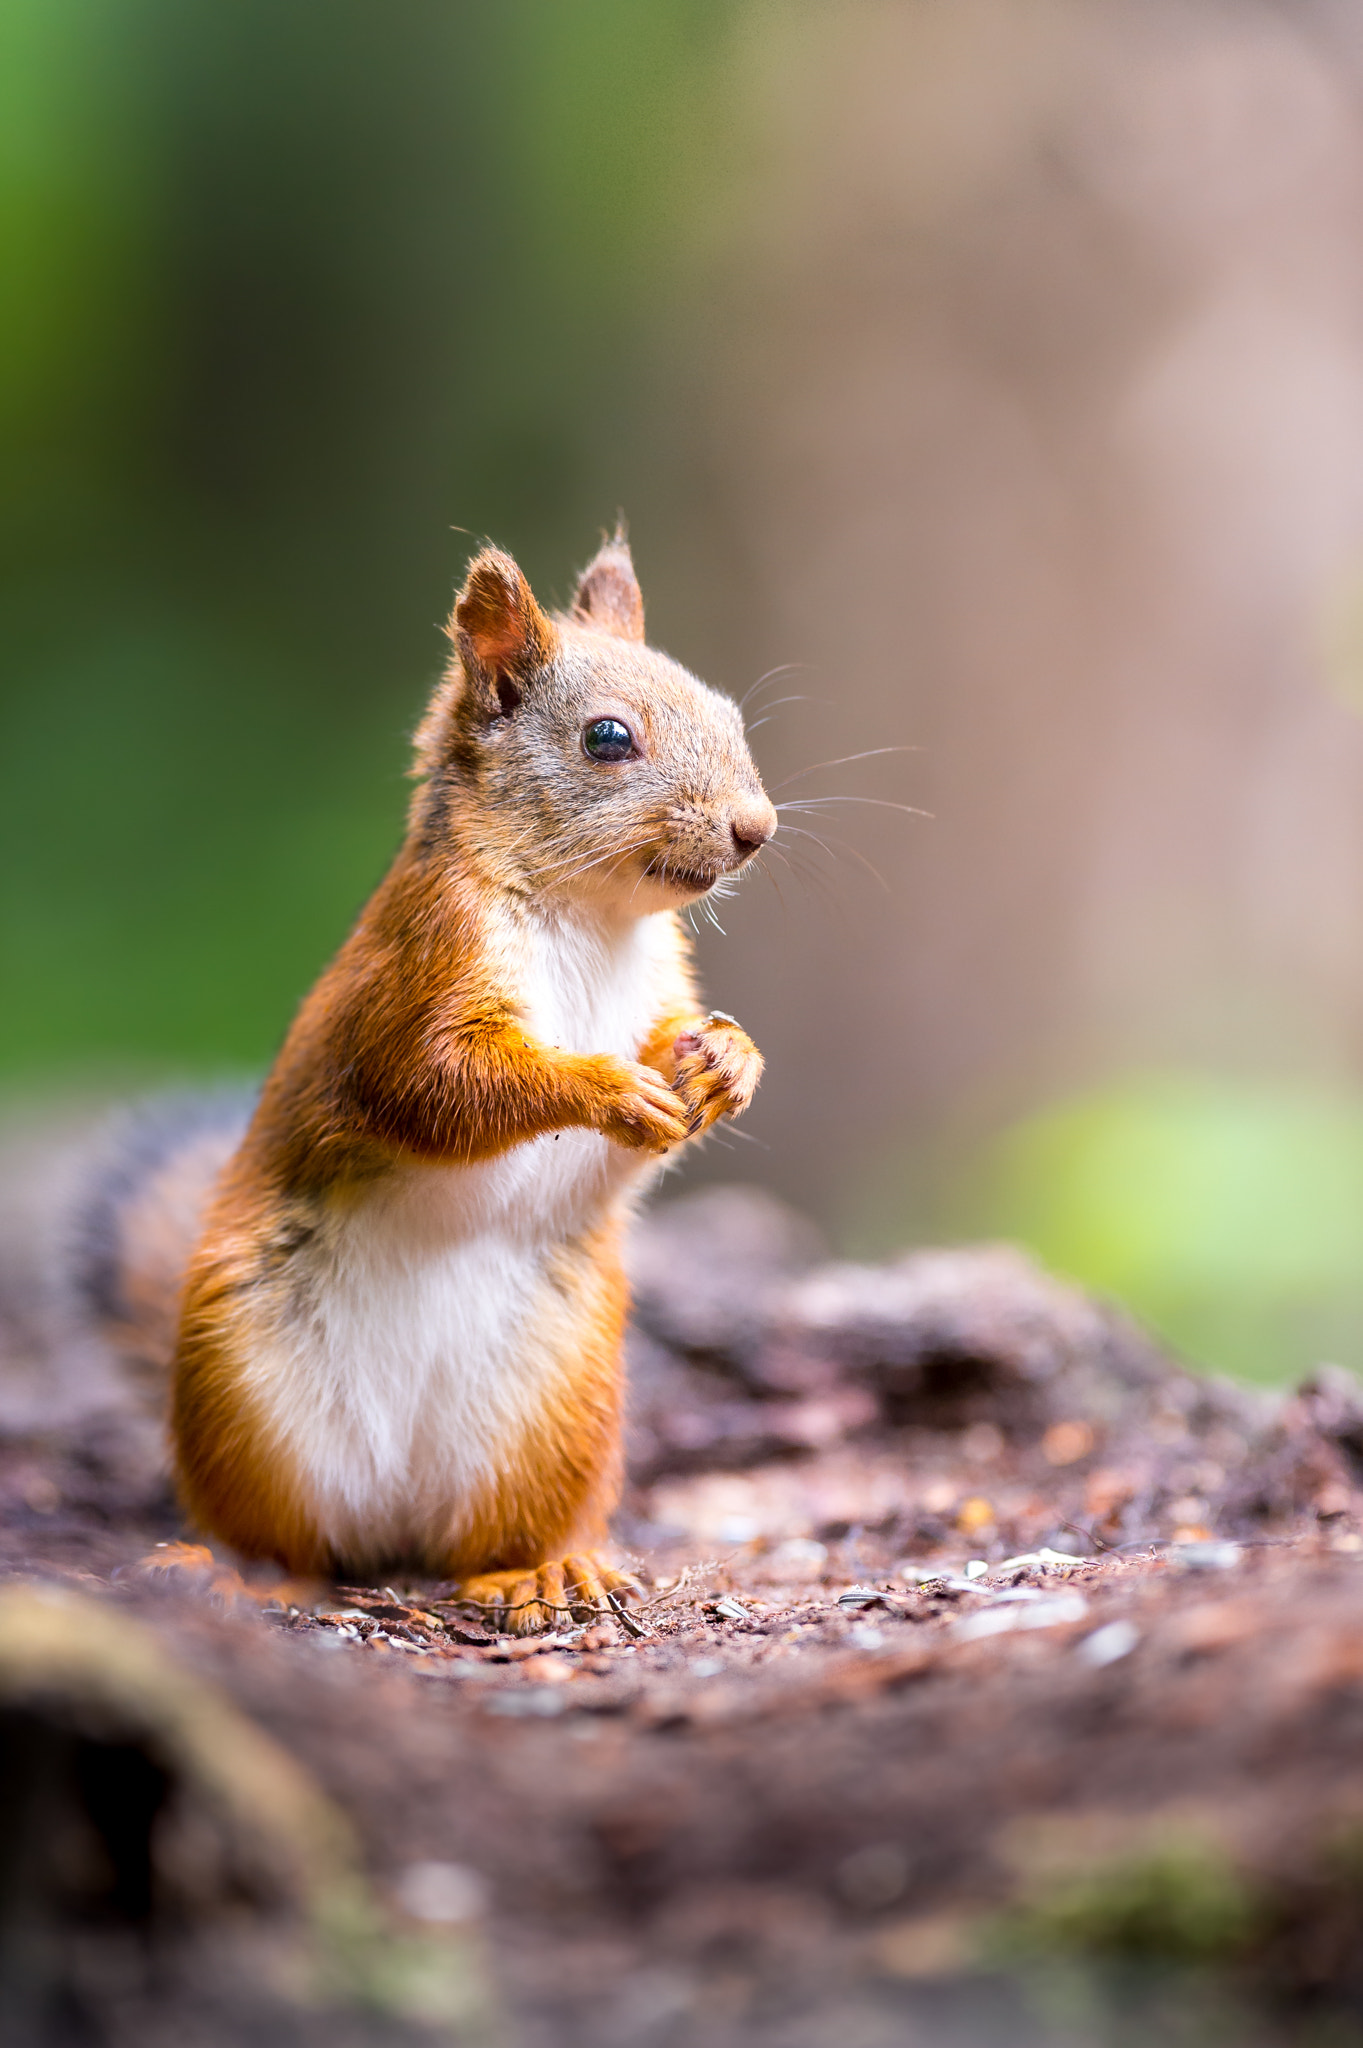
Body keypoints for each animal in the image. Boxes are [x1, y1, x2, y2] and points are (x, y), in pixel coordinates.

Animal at [76, 536, 773, 1638]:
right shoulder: (416, 979)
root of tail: (392, 1515)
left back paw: (542, 1571)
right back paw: (232, 1573)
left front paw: (730, 1060)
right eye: (607, 737)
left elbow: (677, 1036)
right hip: (242, 1389)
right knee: (277, 1536)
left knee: (491, 1537)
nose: (757, 827)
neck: (590, 914)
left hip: (559, 1406)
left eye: (729, 714)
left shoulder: (662, 987)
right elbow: (440, 1083)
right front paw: (603, 1088)